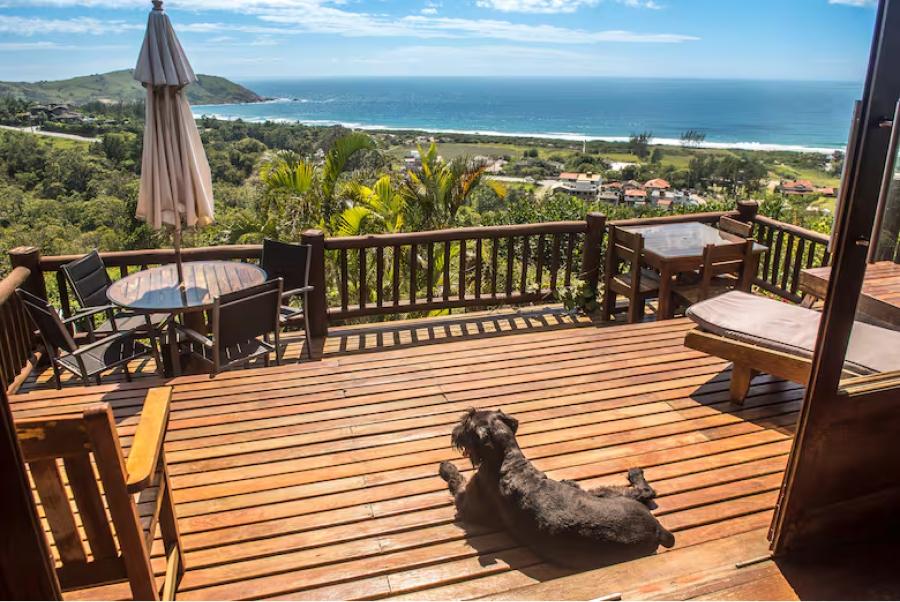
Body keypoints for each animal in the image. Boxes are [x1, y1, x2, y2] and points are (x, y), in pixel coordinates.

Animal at [436, 406, 676, 564]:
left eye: (467, 421)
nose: (454, 432)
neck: (507, 458)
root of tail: (658, 530)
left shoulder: (466, 503)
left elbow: (456, 480)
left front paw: (446, 466)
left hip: (604, 493)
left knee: (645, 490)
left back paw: (634, 473)